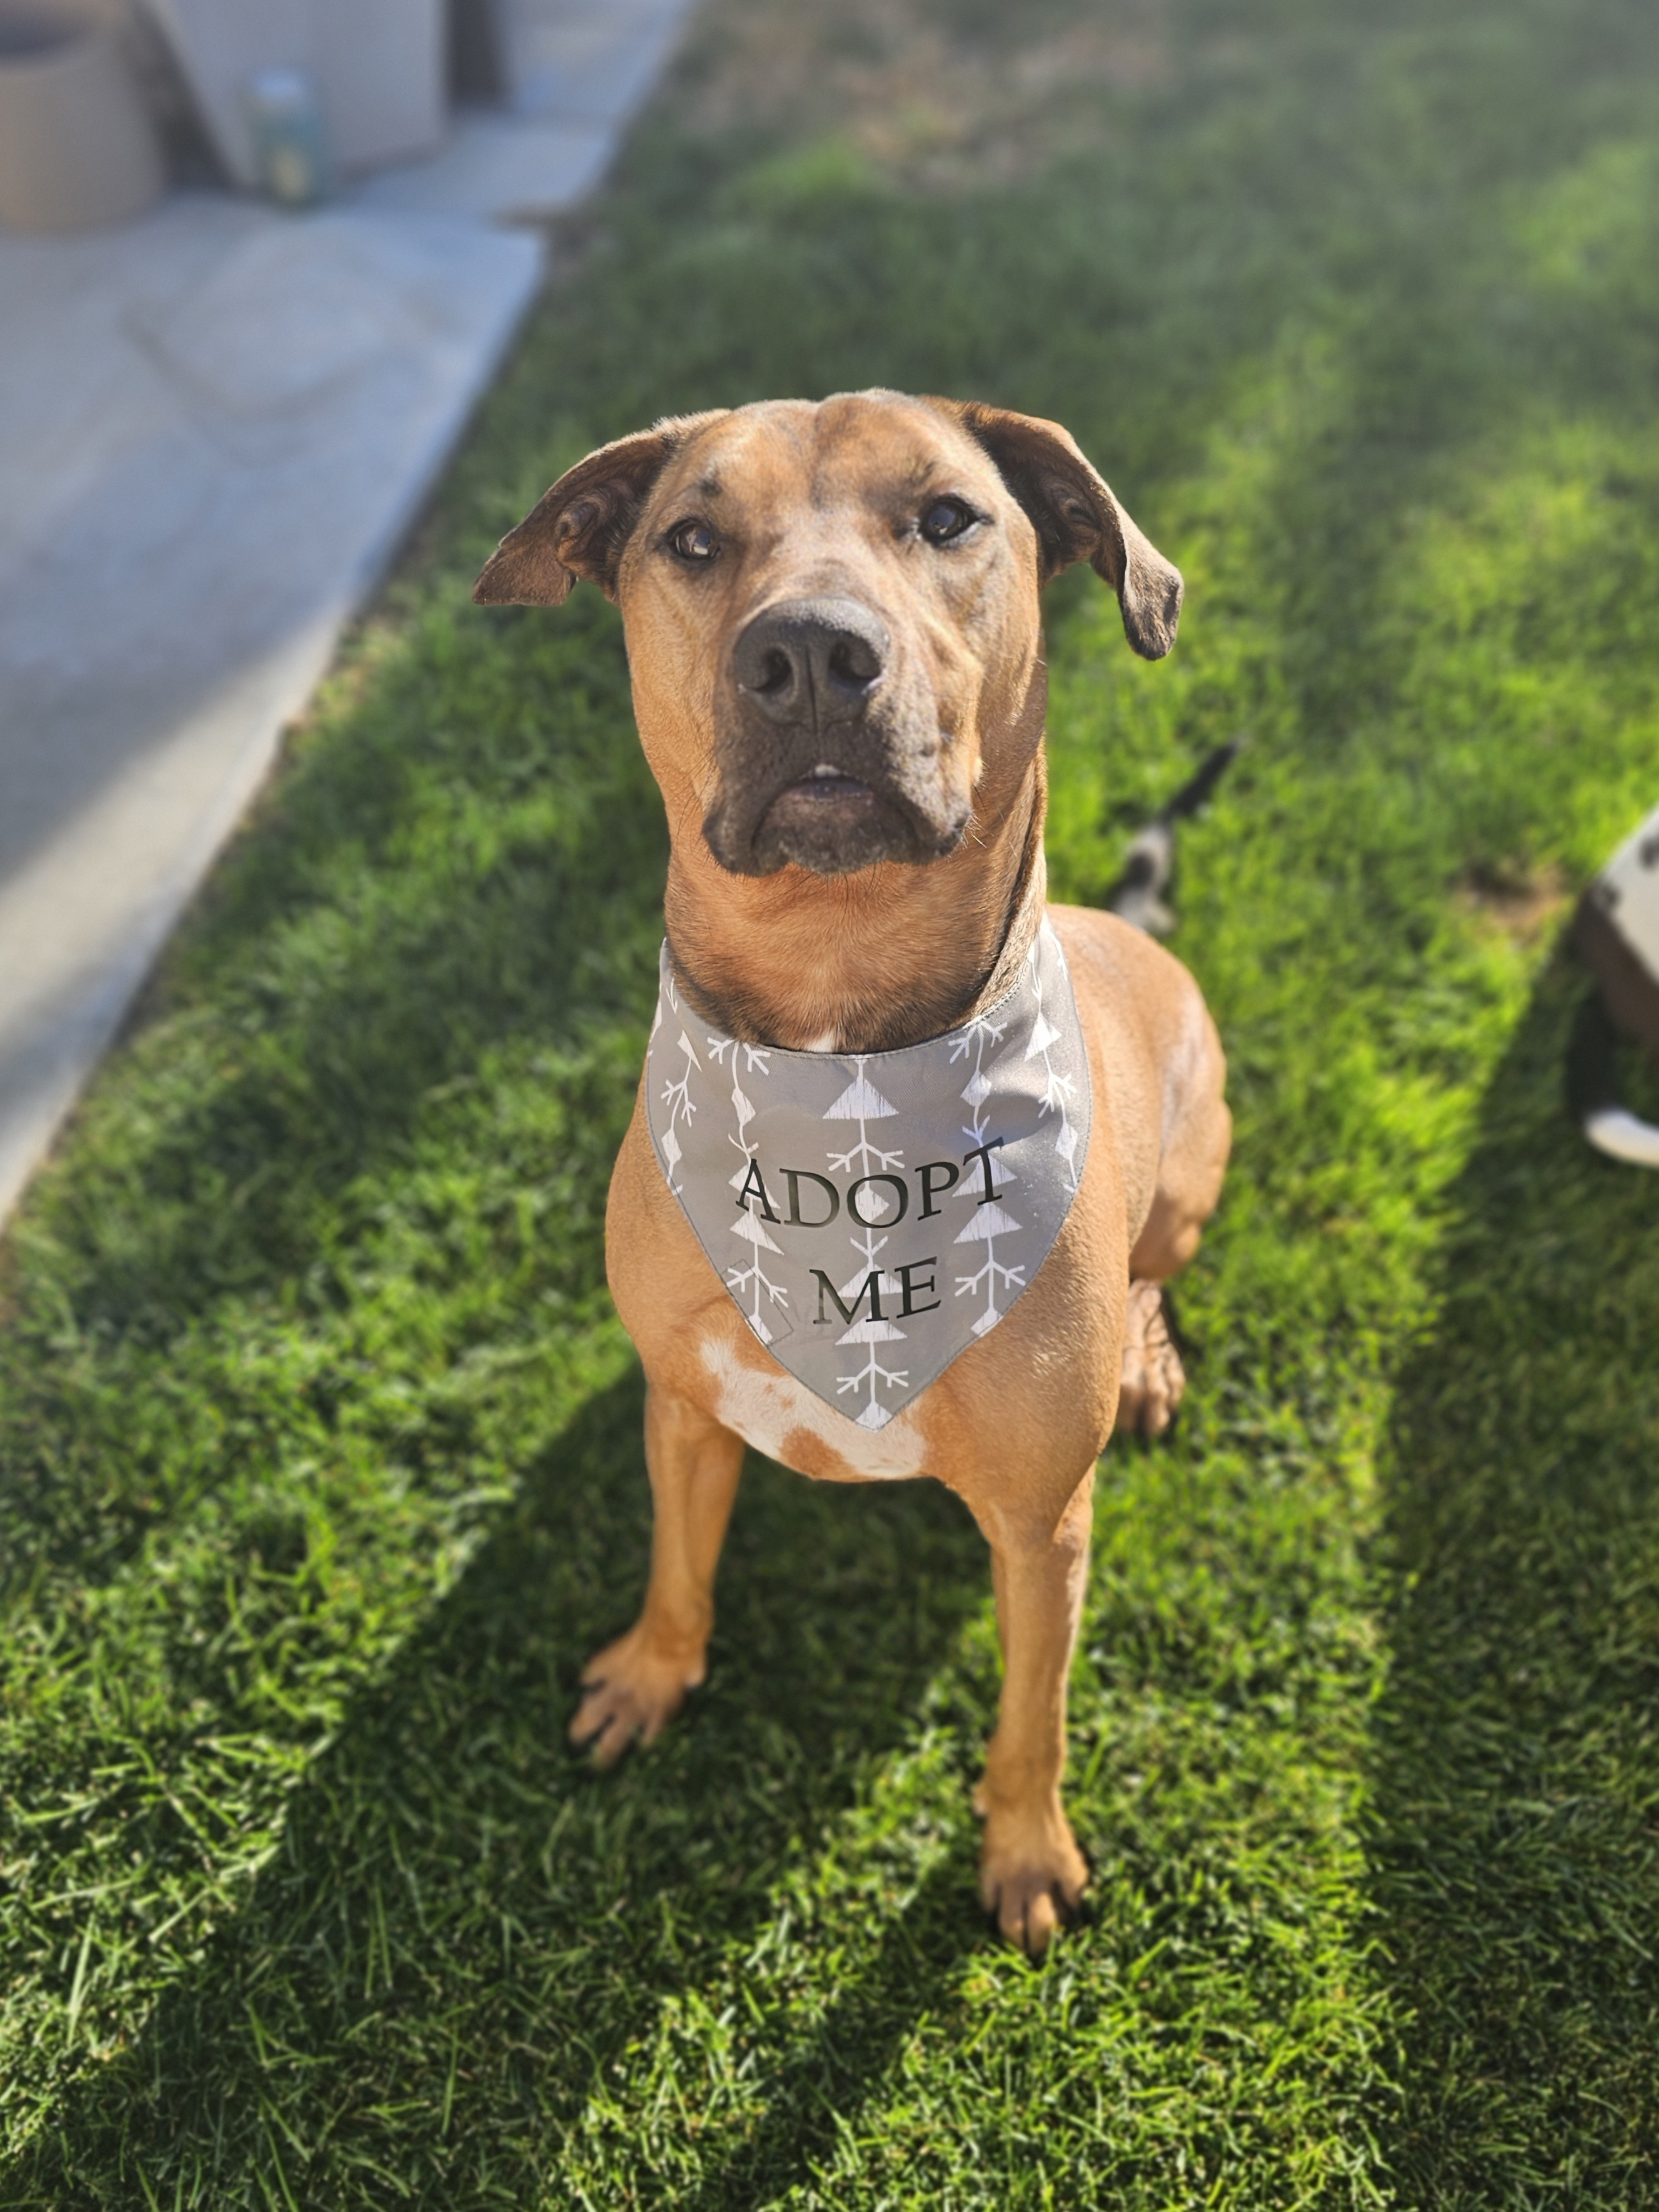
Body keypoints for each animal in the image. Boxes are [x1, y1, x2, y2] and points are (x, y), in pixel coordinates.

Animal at [473, 398, 1230, 1955]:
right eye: (691, 537)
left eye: (947, 517)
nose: (809, 653)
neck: (840, 1064)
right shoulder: (681, 1405)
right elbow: (676, 1559)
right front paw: (652, 1669)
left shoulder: (1042, 1527)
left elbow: (1029, 1715)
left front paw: (1023, 1846)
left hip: (1198, 1158)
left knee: (1158, 1264)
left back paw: (1147, 1355)